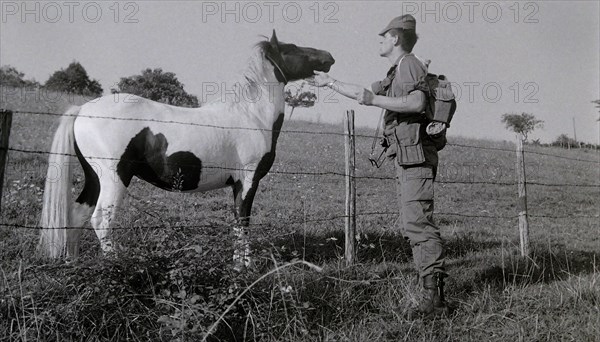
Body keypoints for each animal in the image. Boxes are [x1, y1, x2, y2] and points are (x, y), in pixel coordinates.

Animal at [37, 30, 336, 268]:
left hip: (94, 177)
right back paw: (116, 263)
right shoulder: (248, 180)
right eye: (292, 48)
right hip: (114, 178)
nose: (329, 57)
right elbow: (244, 221)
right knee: (100, 220)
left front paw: (238, 265)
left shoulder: (238, 184)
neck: (251, 115)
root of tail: (82, 109)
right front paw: (246, 267)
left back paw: (73, 262)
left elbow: (236, 221)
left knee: (77, 214)